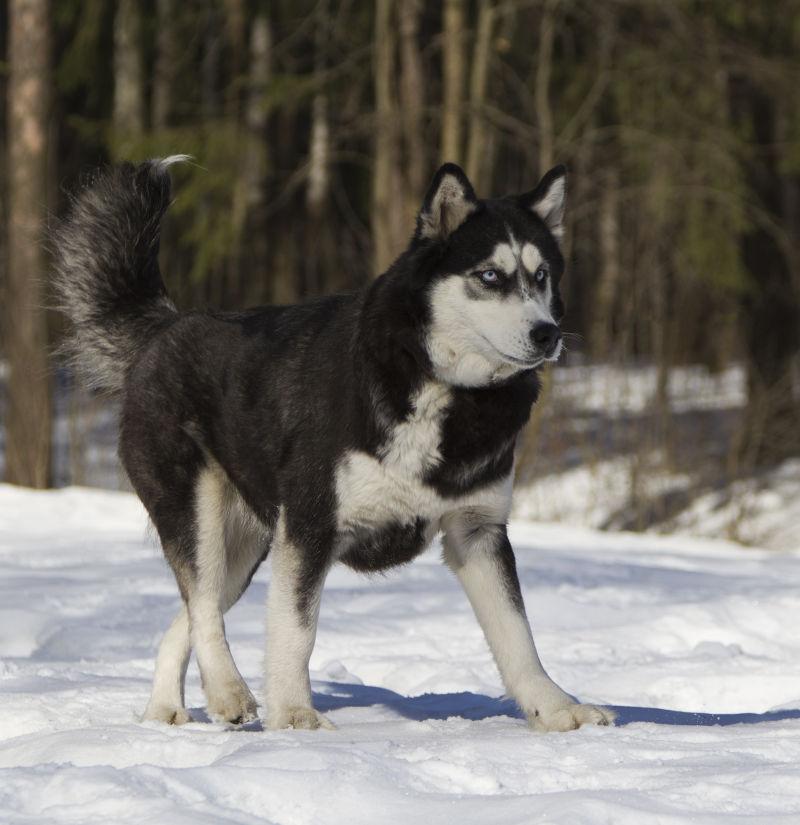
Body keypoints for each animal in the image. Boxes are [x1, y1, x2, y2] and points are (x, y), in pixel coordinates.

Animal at [54, 158, 612, 732]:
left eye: (541, 276)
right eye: (490, 276)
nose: (548, 333)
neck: (441, 390)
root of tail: (165, 327)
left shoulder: (477, 531)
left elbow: (519, 637)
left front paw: (556, 708)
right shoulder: (310, 525)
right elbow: (296, 631)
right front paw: (294, 714)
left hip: (247, 547)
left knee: (185, 616)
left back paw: (167, 707)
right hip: (198, 513)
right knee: (204, 606)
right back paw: (230, 692)